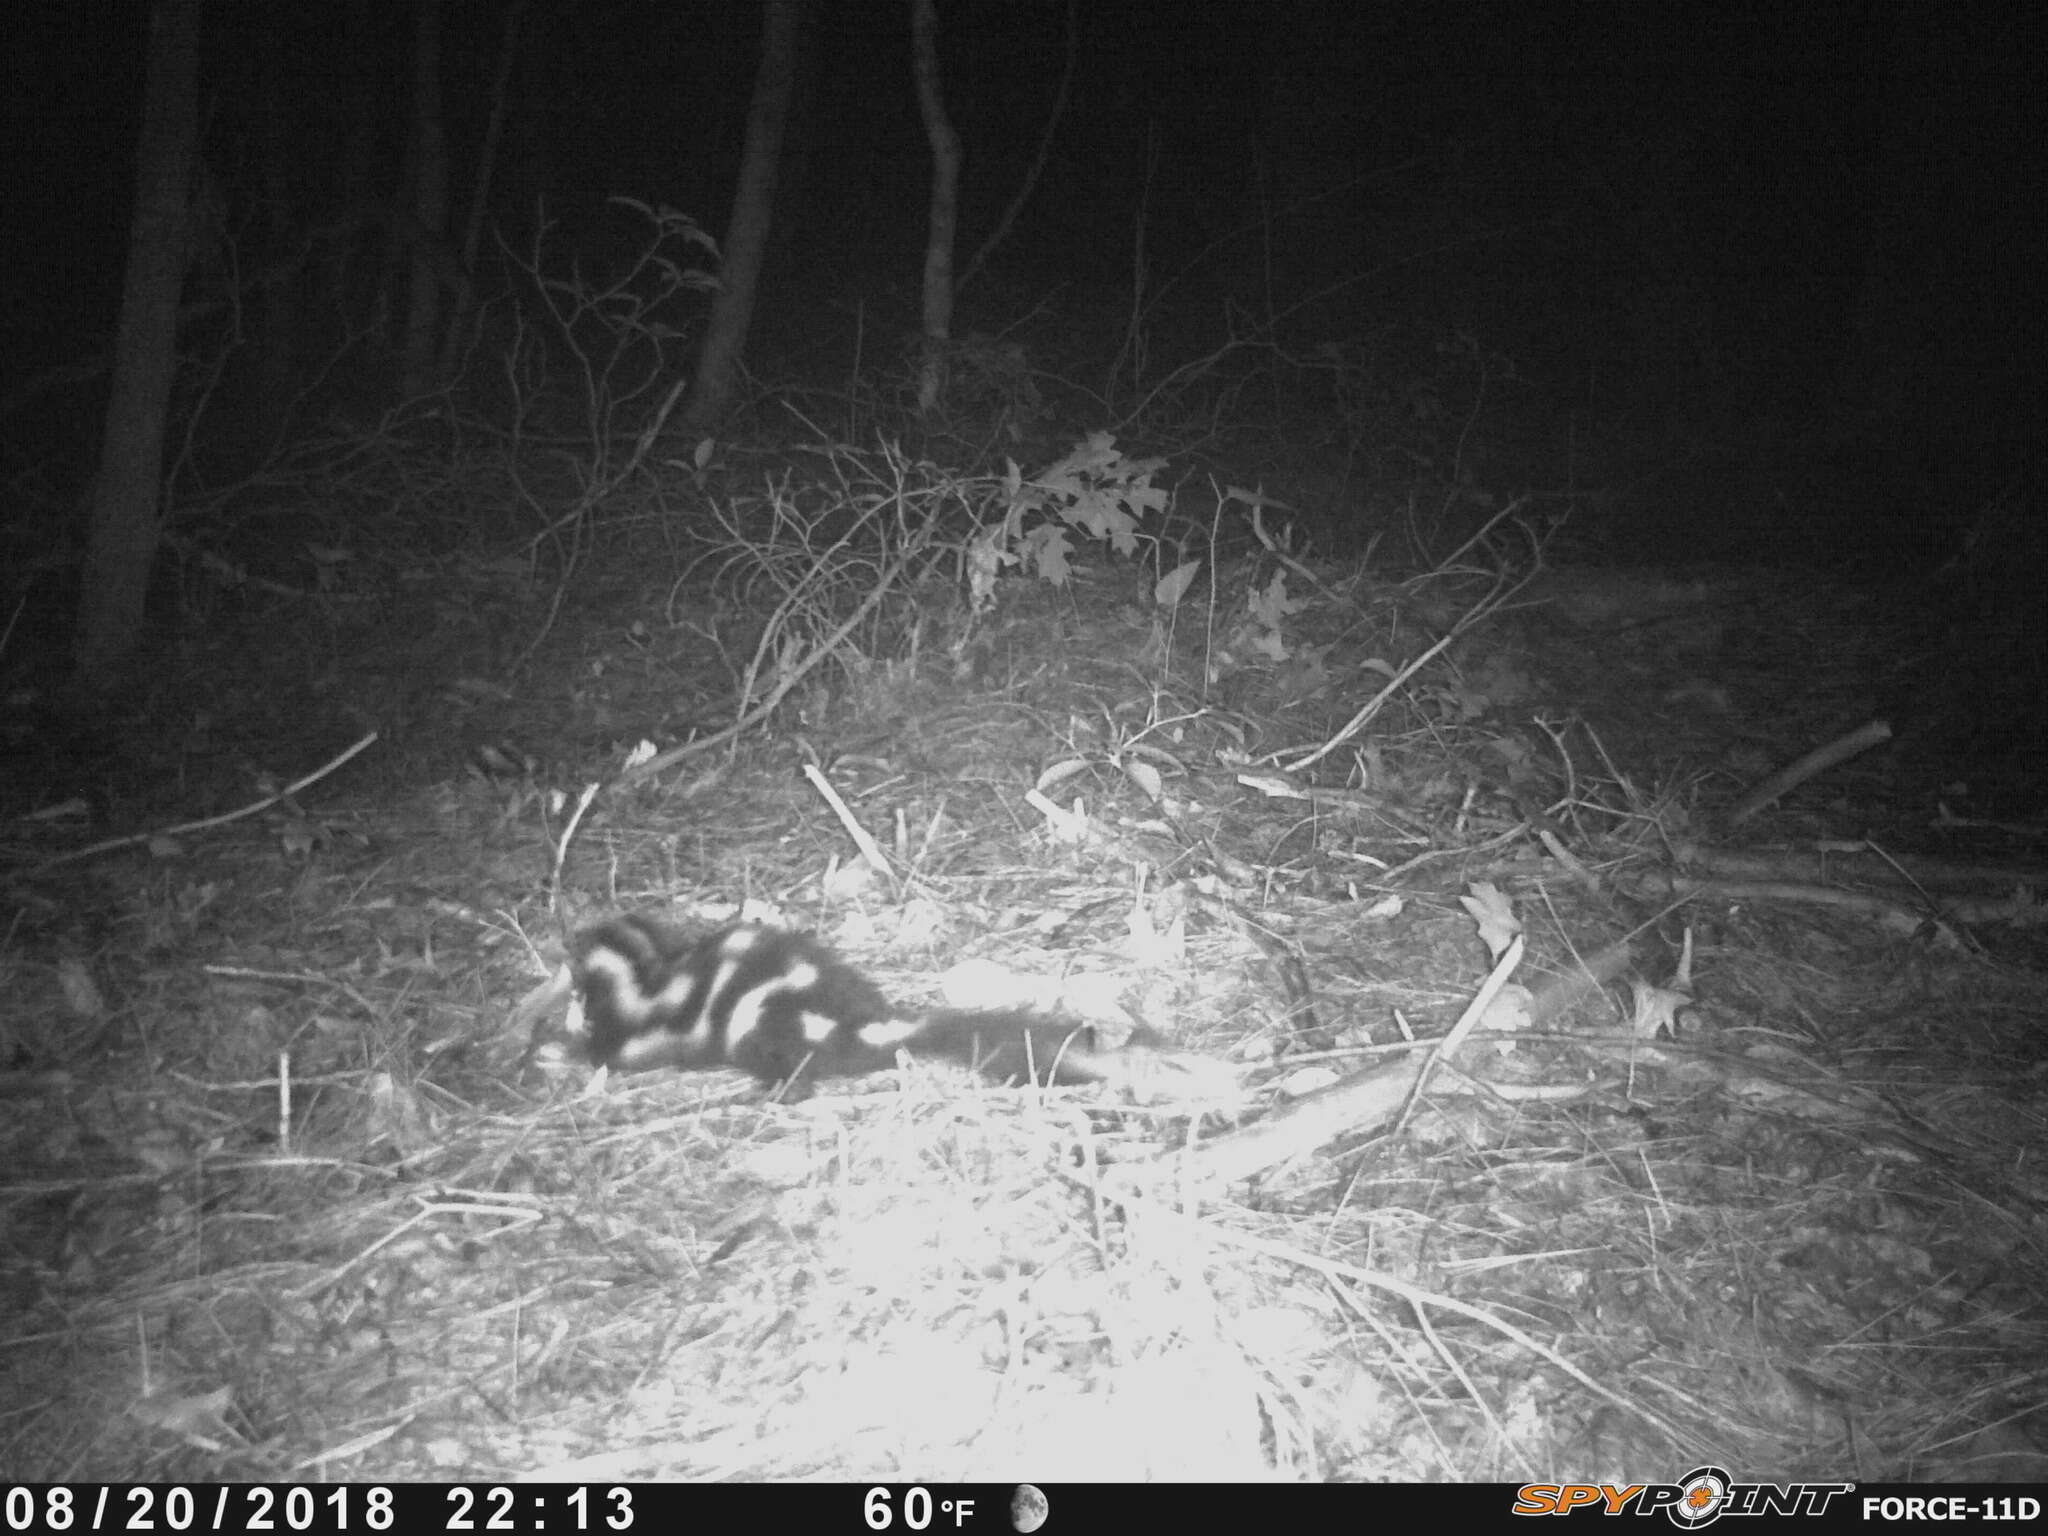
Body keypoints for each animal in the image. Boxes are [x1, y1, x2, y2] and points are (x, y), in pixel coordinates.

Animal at [528, 913, 1179, 1097]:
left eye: (580, 950)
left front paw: (557, 1052)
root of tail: (869, 1024)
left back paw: (771, 1094)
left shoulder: (640, 1031)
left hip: (765, 1028)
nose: (564, 943)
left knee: (794, 1073)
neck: (650, 975)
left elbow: (610, 1057)